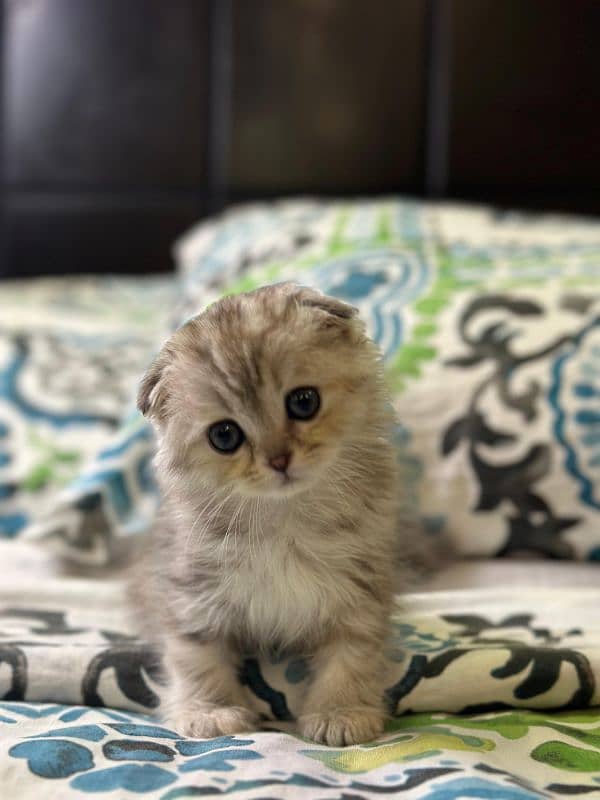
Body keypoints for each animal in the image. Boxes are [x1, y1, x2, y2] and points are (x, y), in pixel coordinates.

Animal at [135, 284, 406, 748]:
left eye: (304, 402)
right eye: (224, 436)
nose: (279, 460)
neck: (284, 521)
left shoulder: (361, 587)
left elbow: (351, 654)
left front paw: (340, 712)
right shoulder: (191, 590)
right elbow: (196, 654)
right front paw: (210, 711)